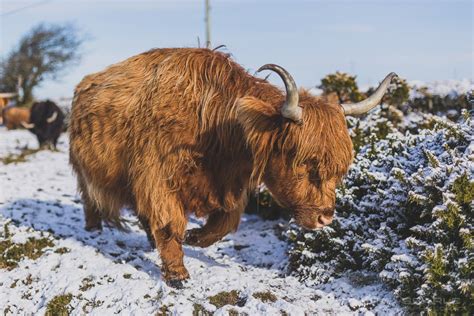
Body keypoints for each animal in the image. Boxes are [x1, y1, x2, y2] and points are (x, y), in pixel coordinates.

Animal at [69, 48, 396, 288]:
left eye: (339, 171)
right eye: (304, 161)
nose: (325, 218)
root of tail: (84, 84)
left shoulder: (230, 185)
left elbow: (224, 222)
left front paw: (194, 237)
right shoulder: (157, 176)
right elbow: (170, 222)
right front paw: (177, 275)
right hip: (84, 167)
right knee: (90, 198)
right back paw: (94, 229)